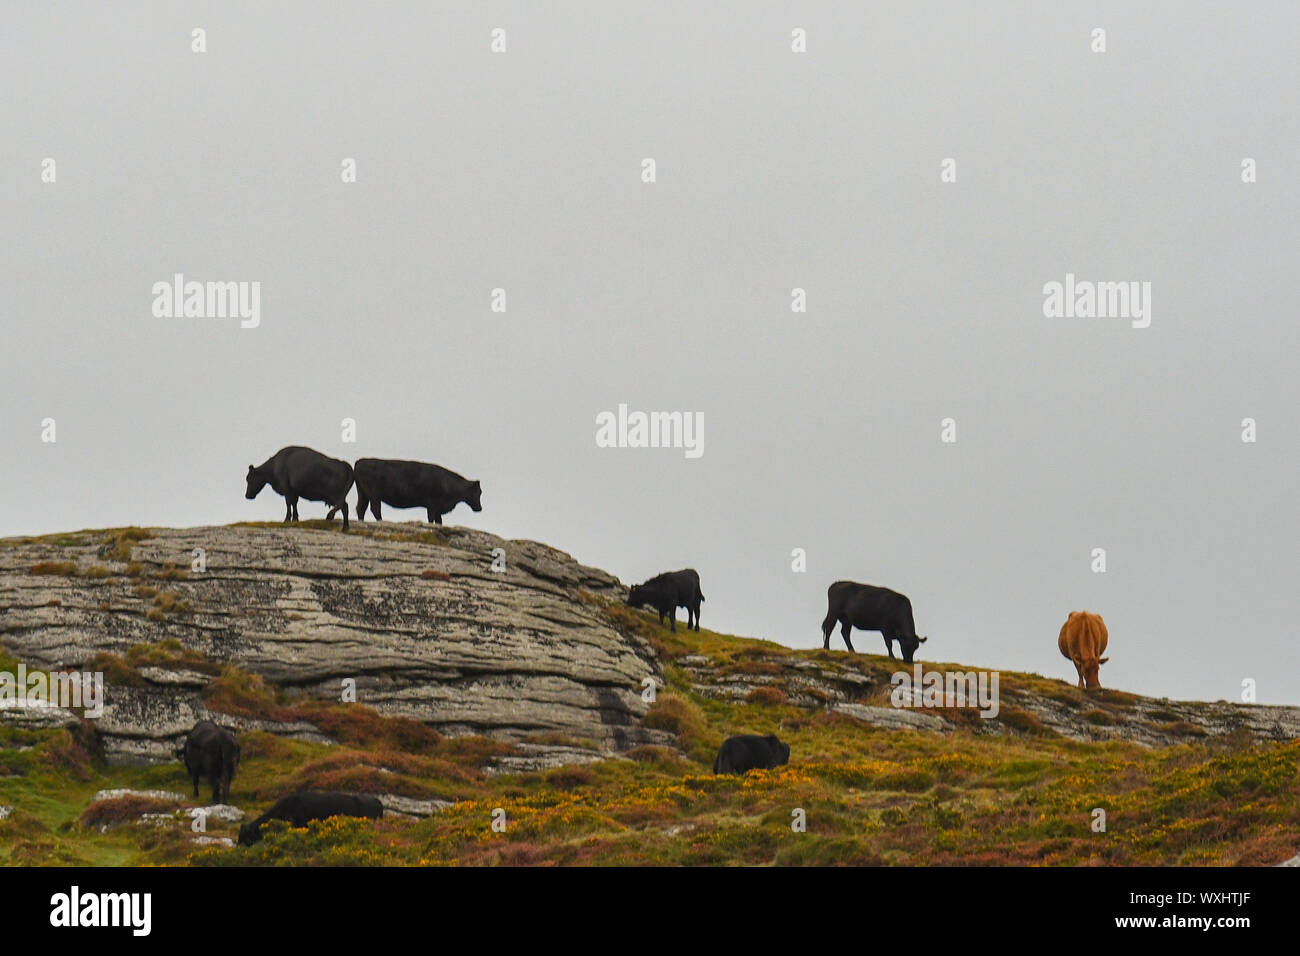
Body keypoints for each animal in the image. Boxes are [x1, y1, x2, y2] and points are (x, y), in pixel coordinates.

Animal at [351, 460, 483, 528]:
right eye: (479, 492)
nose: (480, 508)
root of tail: (360, 462)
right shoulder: (432, 506)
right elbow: (431, 519)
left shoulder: (437, 509)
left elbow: (439, 521)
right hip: (374, 495)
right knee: (375, 509)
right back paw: (381, 522)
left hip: (364, 494)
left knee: (360, 508)